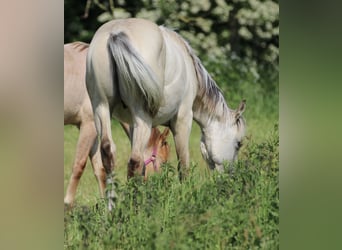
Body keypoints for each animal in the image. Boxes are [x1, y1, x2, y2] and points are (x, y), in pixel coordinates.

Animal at [63, 41, 170, 205]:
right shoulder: (89, 125)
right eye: (163, 162)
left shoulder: (92, 130)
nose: (161, 189)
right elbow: (79, 165)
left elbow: (99, 169)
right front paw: (67, 204)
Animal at [85, 18, 246, 184]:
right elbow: (183, 166)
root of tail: (116, 33)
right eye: (239, 144)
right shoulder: (182, 120)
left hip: (102, 107)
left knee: (109, 152)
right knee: (135, 161)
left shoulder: (131, 125)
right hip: (142, 118)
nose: (231, 177)